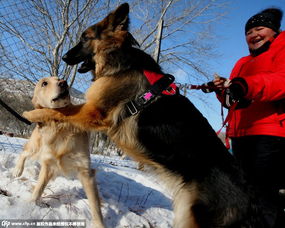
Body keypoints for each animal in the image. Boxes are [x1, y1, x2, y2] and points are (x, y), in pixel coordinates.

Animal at [23, 3, 270, 228]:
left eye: (85, 38)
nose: (65, 56)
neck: (121, 61)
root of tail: (256, 203)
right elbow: (61, 111)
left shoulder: (93, 111)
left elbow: (61, 110)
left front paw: (33, 112)